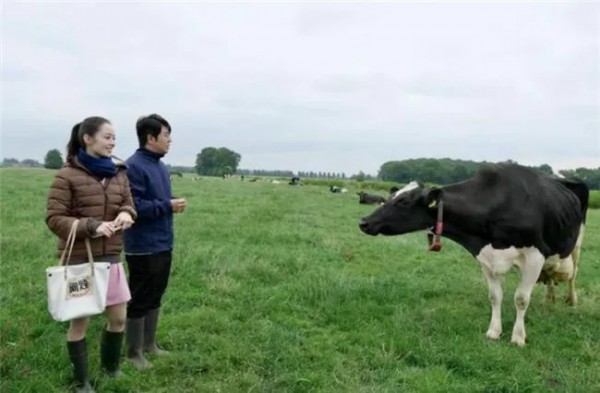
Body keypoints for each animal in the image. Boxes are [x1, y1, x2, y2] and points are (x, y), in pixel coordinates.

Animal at [358, 164, 588, 344]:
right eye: (391, 196)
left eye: (403, 201)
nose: (364, 222)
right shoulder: (486, 258)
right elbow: (495, 296)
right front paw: (494, 331)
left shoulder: (535, 256)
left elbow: (521, 299)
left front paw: (518, 337)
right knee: (550, 276)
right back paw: (550, 299)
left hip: (576, 245)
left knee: (574, 275)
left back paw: (572, 300)